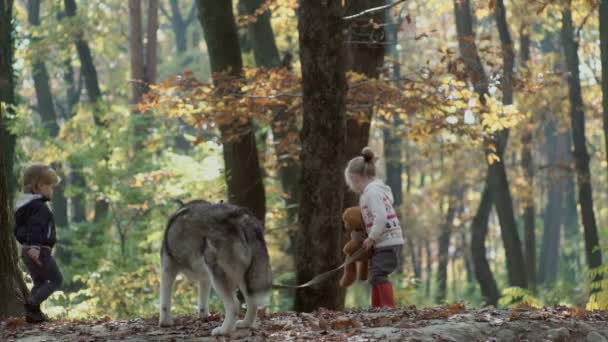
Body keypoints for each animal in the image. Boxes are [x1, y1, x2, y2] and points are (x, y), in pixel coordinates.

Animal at [158, 202, 272, 336]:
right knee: (252, 303)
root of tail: (242, 217)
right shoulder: (205, 278)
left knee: (234, 305)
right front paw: (203, 316)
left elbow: (164, 301)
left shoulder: (167, 269)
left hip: (219, 275)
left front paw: (164, 322)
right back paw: (245, 324)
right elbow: (202, 301)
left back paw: (223, 330)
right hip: (245, 278)